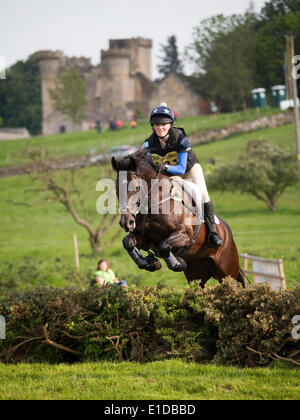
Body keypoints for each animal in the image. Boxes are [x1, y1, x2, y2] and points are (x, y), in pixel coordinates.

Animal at [111, 151, 245, 288]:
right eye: (116, 189)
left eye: (137, 187)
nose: (126, 222)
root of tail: (227, 232)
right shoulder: (144, 237)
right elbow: (127, 242)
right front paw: (150, 263)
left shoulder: (186, 234)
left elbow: (164, 246)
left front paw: (177, 264)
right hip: (196, 275)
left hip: (227, 270)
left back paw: (215, 237)